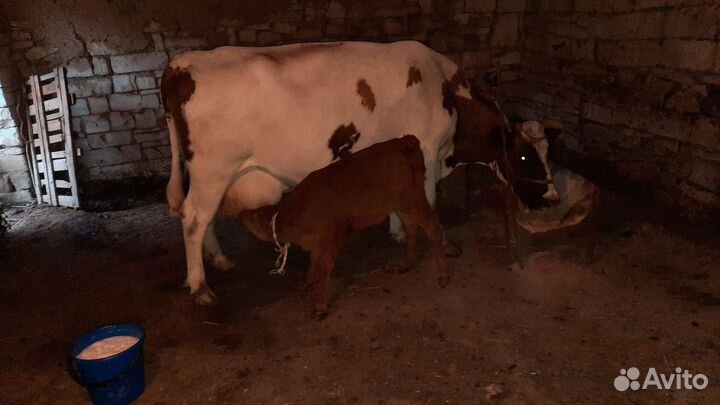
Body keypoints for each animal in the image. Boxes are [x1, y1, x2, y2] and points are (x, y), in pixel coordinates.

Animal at [235, 135, 448, 317]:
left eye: (252, 218)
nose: (240, 214)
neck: (294, 217)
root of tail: (406, 140)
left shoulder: (330, 236)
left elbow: (324, 267)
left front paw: (321, 306)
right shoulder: (317, 242)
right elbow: (313, 262)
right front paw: (305, 283)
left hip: (412, 198)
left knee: (433, 226)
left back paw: (442, 275)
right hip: (400, 203)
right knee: (411, 227)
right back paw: (406, 264)